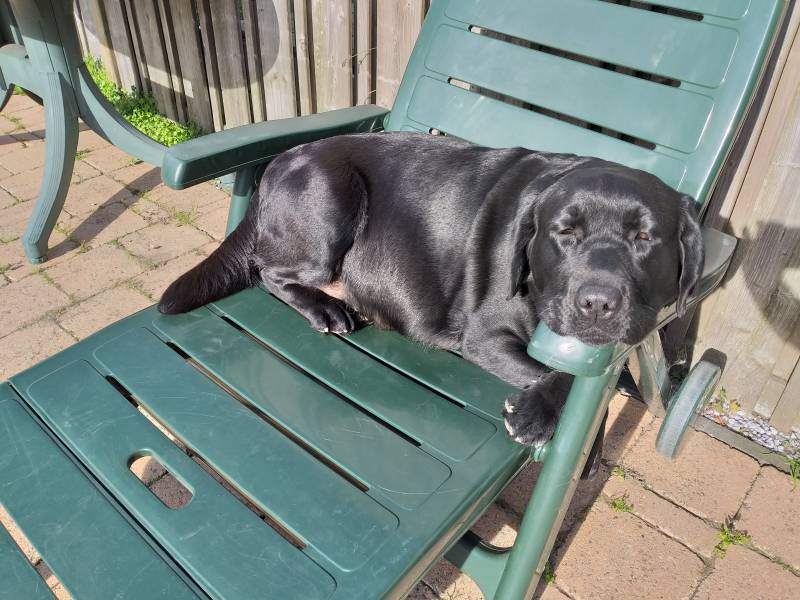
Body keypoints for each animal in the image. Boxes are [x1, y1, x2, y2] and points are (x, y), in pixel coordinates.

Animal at [159, 132, 704, 450]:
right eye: (564, 233)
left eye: (645, 238)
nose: (597, 303)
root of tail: (278, 163)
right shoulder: (485, 335)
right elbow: (563, 370)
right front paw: (536, 412)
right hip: (330, 204)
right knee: (269, 272)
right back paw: (326, 309)